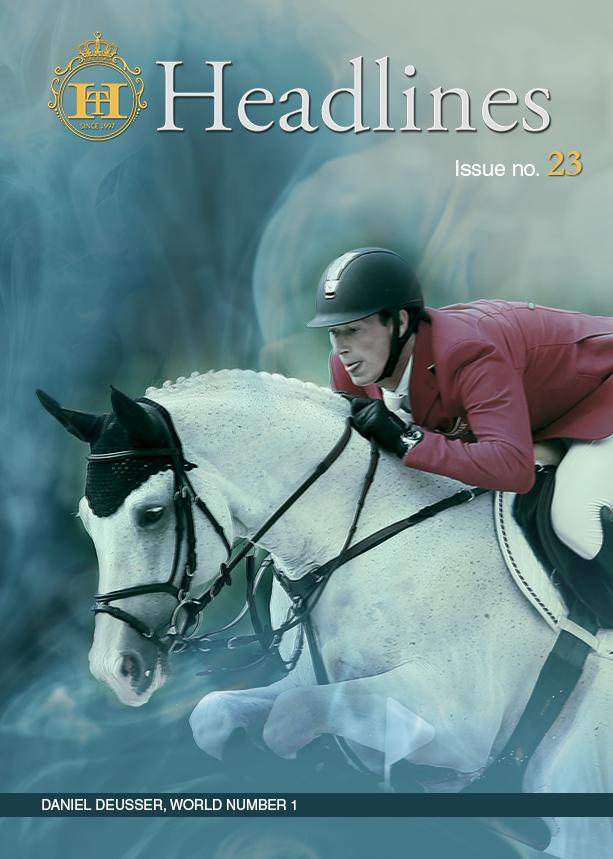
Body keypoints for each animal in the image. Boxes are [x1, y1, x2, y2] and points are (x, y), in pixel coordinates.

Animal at [38, 371, 613, 859]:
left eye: (151, 514)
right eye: (87, 521)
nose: (116, 669)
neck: (364, 535)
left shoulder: (462, 725)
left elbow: (290, 721)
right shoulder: (311, 681)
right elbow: (216, 714)